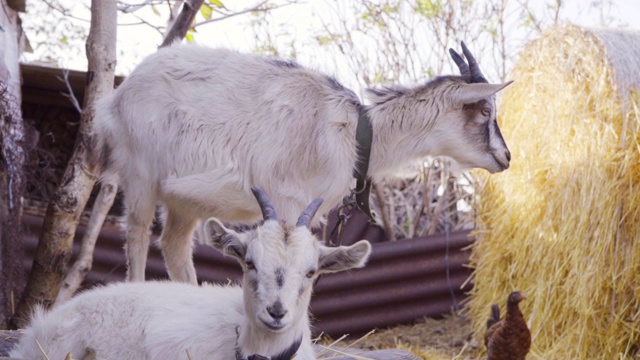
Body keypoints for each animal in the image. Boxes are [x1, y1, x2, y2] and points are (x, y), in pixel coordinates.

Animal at [95, 40, 512, 282]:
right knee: (136, 236)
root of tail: (115, 98)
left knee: (173, 246)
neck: (354, 133)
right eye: (485, 109)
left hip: (186, 198)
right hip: (140, 174)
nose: (506, 157)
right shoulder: (285, 201)